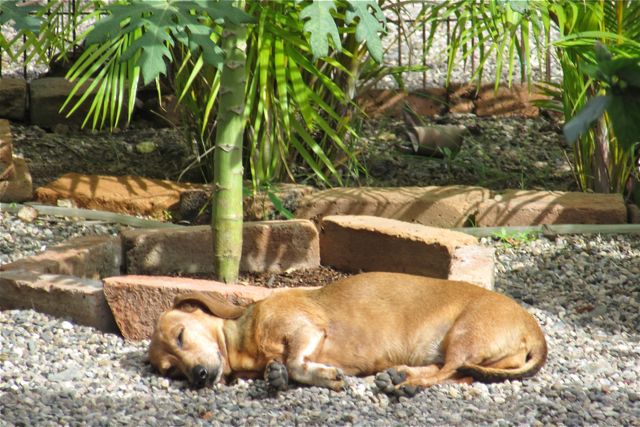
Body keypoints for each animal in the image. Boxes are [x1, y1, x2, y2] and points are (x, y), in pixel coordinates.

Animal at [148, 272, 547, 396]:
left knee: (451, 369)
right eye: (171, 370)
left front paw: (324, 376)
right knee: (460, 374)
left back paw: (405, 381)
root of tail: (533, 328)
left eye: (181, 335)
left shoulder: (308, 329)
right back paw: (401, 376)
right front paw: (277, 376)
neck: (246, 340)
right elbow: (286, 368)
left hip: (464, 332)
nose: (199, 377)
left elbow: (297, 363)